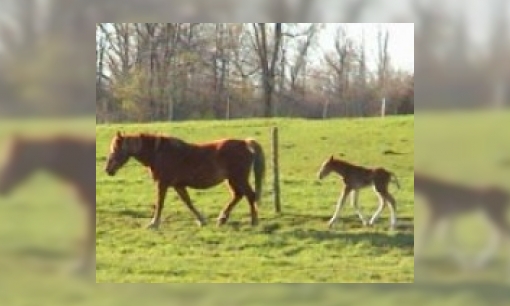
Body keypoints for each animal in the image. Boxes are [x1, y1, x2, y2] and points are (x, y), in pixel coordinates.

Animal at [103, 131, 264, 230]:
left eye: (115, 149)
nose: (108, 170)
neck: (158, 153)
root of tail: (245, 143)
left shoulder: (163, 184)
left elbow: (160, 204)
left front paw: (154, 224)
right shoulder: (178, 185)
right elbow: (188, 203)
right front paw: (201, 221)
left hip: (239, 178)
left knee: (250, 195)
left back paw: (254, 222)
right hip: (232, 180)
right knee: (238, 195)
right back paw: (222, 219)